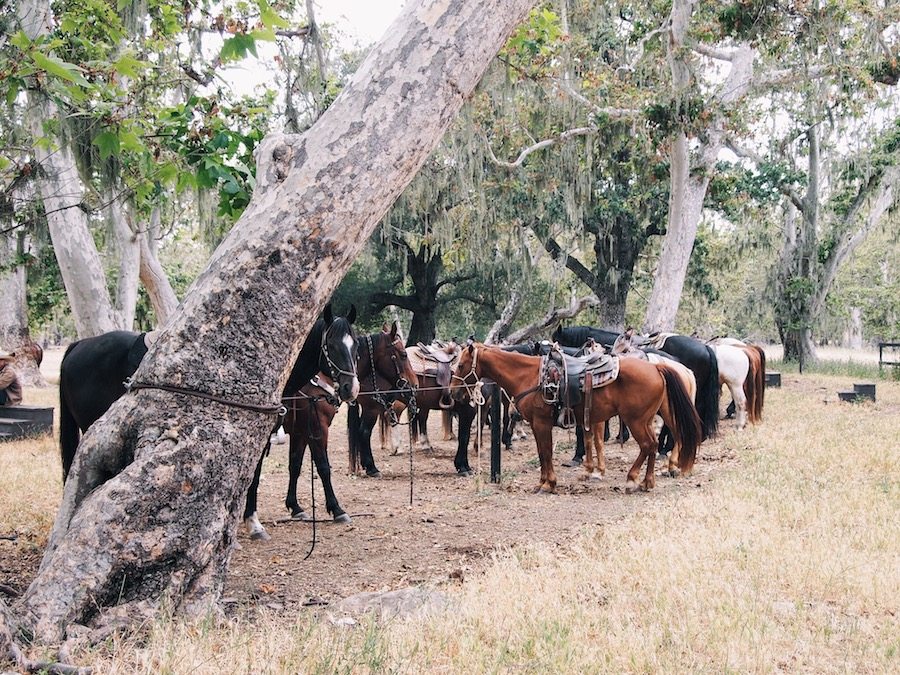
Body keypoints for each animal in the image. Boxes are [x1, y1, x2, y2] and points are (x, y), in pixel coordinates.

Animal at [54, 306, 358, 544]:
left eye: (355, 346)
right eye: (331, 346)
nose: (349, 388)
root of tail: (78, 346)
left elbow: (281, 470)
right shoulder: (308, 429)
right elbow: (318, 467)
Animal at [450, 346, 704, 494]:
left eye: (461, 365)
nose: (453, 393)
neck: (529, 376)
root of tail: (657, 368)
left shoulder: (541, 423)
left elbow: (546, 452)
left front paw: (548, 483)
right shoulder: (538, 424)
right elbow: (543, 452)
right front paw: (543, 482)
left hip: (636, 420)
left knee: (648, 445)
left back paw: (633, 480)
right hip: (646, 419)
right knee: (652, 445)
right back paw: (646, 482)